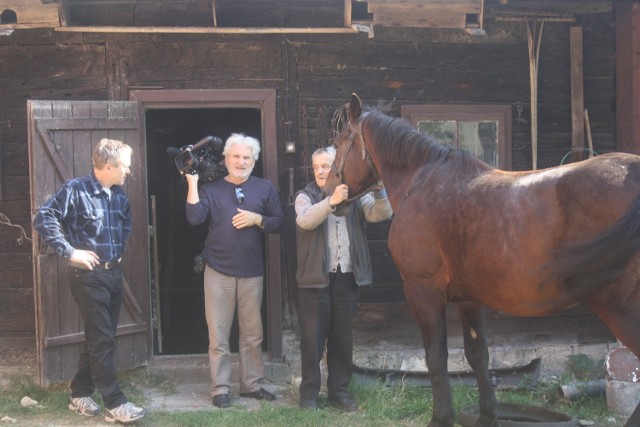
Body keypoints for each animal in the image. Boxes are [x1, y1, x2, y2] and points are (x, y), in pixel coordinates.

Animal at [328, 94, 640, 427]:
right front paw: (487, 416)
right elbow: (478, 355)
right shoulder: (470, 299)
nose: (328, 190)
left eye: (340, 141)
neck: (422, 182)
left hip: (619, 306)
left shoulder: (422, 292)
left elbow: (436, 356)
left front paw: (441, 418)